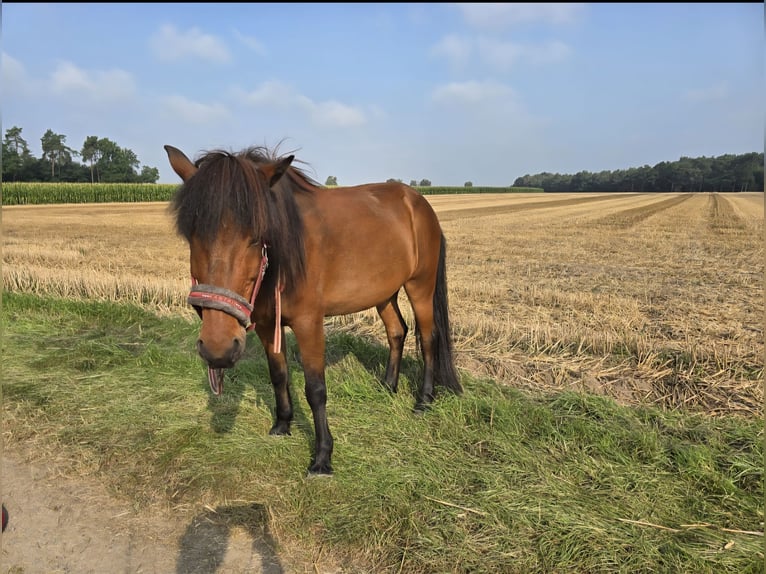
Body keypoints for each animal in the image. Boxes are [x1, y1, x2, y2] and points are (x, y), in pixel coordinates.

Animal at [165, 144, 462, 475]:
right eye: (191, 235)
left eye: (257, 237)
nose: (217, 349)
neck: (285, 257)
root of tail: (419, 203)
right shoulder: (268, 324)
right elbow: (278, 374)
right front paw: (282, 425)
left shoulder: (309, 323)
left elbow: (315, 389)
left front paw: (322, 457)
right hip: (384, 292)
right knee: (397, 331)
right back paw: (388, 386)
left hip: (420, 286)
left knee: (429, 338)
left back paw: (424, 400)